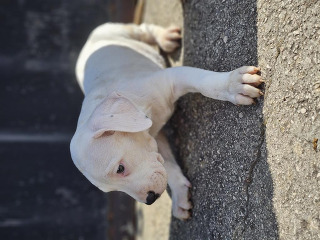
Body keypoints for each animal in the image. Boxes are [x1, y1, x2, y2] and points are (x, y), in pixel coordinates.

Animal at [70, 23, 262, 220]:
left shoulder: (171, 78)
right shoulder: (153, 138)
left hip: (125, 32)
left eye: (120, 169)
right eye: (112, 189)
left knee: (145, 29)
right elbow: (168, 164)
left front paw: (233, 85)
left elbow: (205, 83)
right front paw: (180, 195)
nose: (150, 199)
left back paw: (165, 37)